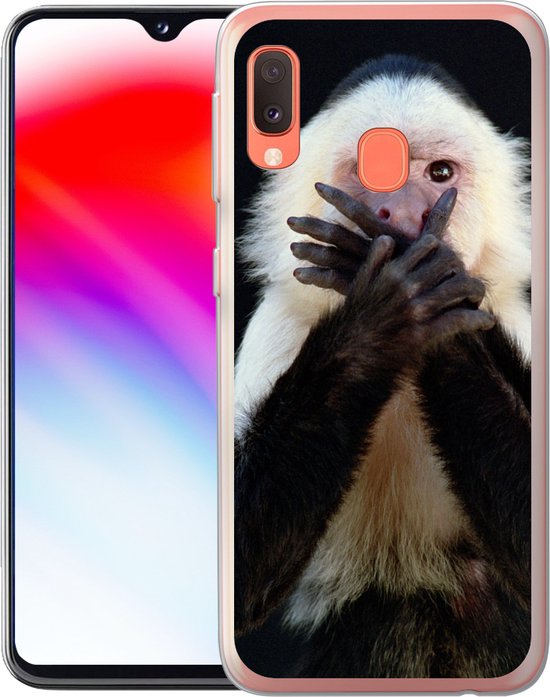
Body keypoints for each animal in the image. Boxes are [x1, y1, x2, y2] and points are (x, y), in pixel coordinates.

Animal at [233, 55, 531, 678]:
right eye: (370, 173)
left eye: (439, 173)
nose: (402, 215)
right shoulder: (279, 323)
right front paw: (389, 308)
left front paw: (430, 286)